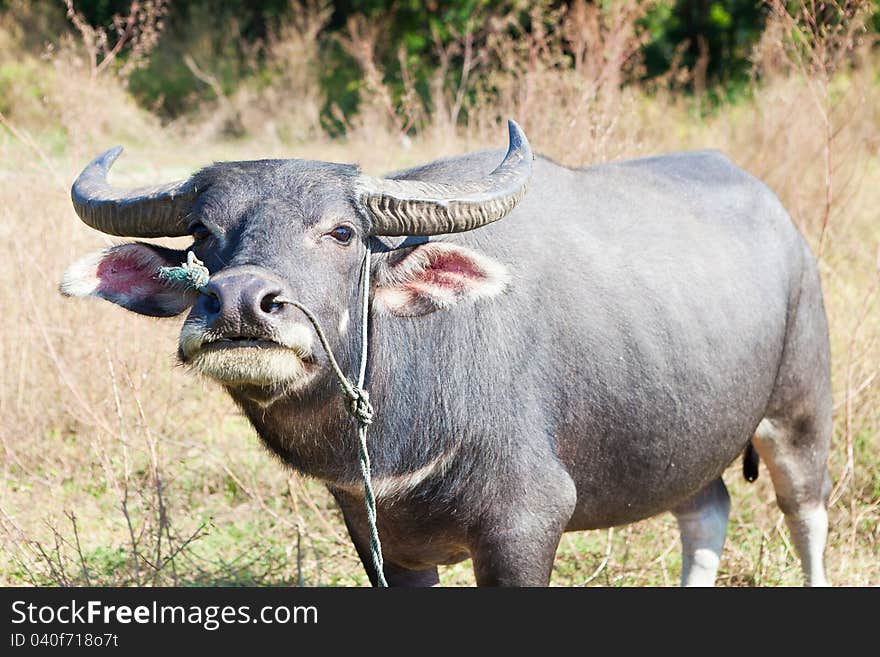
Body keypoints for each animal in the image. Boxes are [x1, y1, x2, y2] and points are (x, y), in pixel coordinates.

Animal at [62, 121, 832, 584]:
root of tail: (784, 222)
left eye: (342, 231)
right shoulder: (379, 539)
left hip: (800, 412)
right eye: (201, 230)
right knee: (706, 509)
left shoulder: (526, 522)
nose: (241, 303)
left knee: (804, 514)